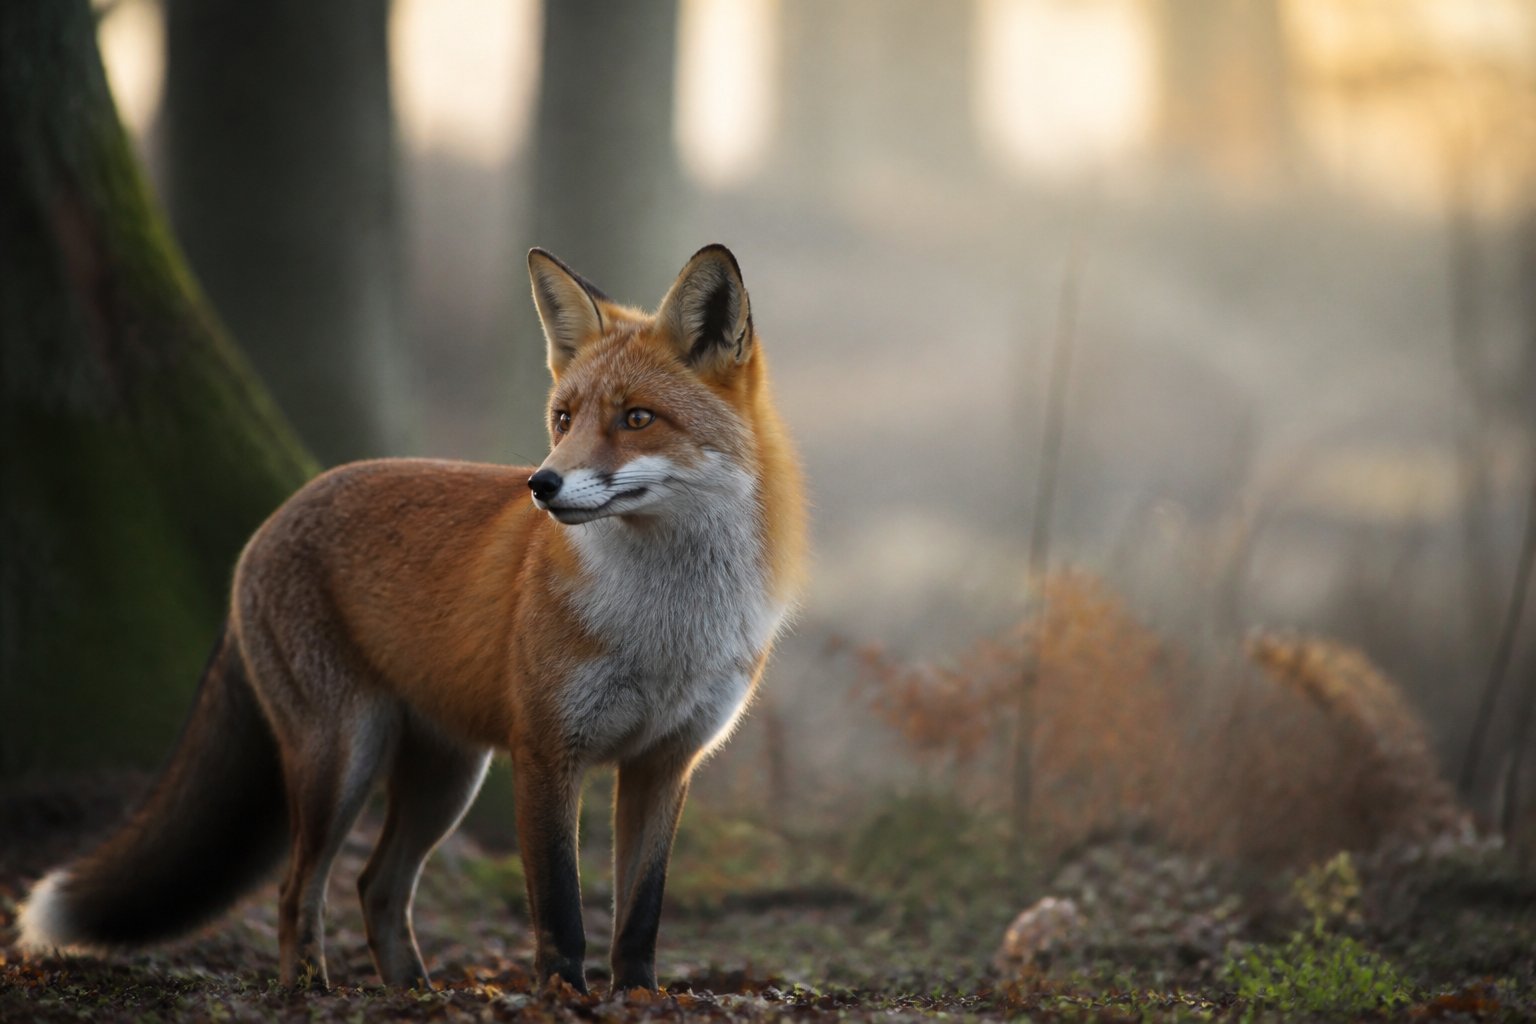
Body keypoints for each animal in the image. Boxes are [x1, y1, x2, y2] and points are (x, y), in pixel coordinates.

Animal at [17, 244, 807, 995]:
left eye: (637, 418)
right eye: (563, 418)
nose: (541, 484)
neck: (668, 623)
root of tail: (278, 512)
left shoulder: (664, 763)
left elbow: (640, 915)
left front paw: (638, 997)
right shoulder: (547, 751)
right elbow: (560, 909)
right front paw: (565, 996)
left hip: (444, 779)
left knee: (377, 887)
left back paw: (415, 990)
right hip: (344, 757)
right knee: (297, 890)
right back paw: (311, 989)